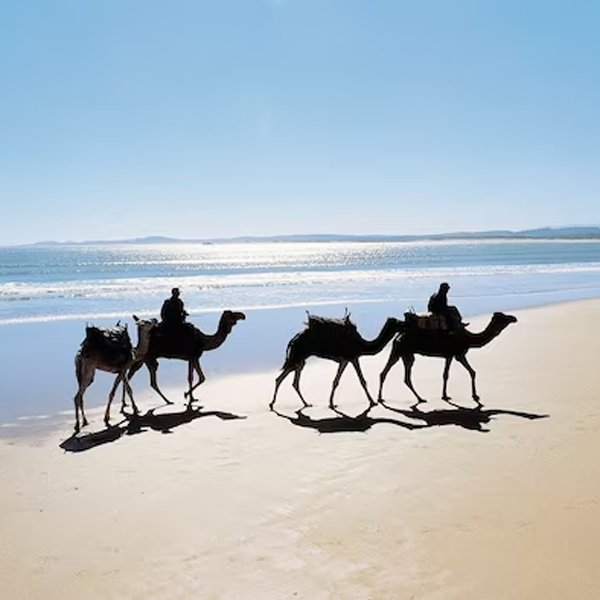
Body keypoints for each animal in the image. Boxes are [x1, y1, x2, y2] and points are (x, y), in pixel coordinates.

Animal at [270, 313, 404, 410]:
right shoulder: (352, 357)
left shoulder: (344, 360)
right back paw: (273, 403)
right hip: (297, 356)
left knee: (292, 380)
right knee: (282, 378)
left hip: (300, 360)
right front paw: (372, 401)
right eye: (398, 322)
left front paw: (331, 403)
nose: (405, 323)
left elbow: (336, 381)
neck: (361, 344)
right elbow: (362, 381)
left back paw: (305, 404)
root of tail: (293, 339)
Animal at [378, 311, 517, 405]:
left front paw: (445, 395)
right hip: (406, 352)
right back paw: (420, 398)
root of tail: (399, 335)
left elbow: (446, 374)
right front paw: (475, 395)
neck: (469, 338)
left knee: (385, 372)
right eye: (503, 317)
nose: (514, 318)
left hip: (398, 351)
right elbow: (471, 372)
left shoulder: (449, 355)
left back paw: (381, 398)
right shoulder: (458, 354)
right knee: (405, 376)